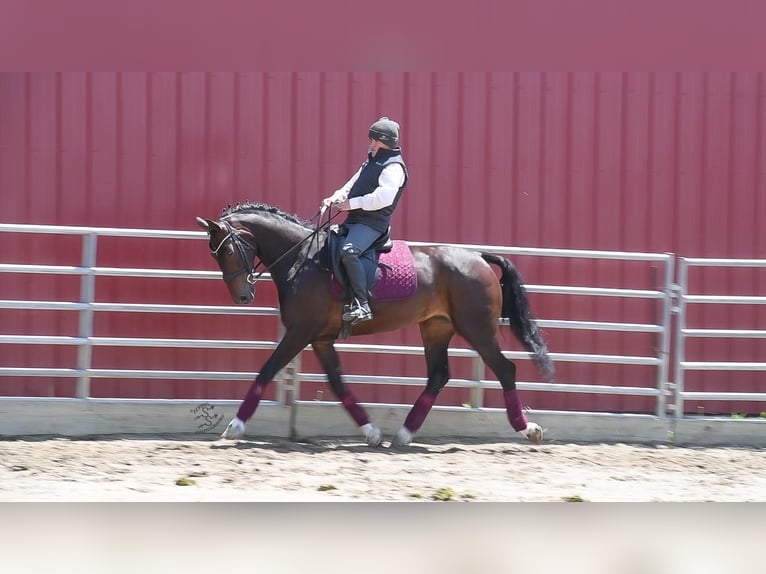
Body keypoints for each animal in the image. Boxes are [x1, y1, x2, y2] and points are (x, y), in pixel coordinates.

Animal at [196, 202, 554, 447]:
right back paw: (404, 434)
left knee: (505, 369)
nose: (243, 296)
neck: (303, 260)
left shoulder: (300, 333)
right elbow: (338, 383)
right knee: (439, 375)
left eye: (228, 250)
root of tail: (478, 257)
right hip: (436, 328)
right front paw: (371, 431)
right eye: (215, 254)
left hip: (477, 329)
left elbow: (266, 371)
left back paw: (528, 429)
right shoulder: (320, 339)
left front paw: (235, 426)